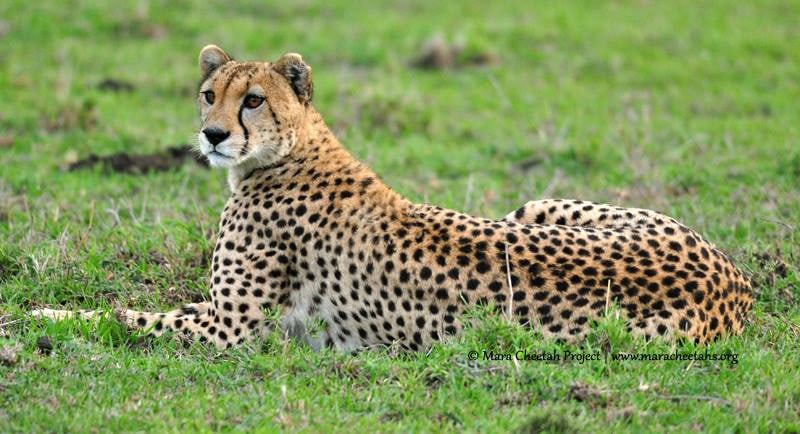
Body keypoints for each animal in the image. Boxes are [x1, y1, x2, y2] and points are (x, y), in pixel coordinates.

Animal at [33, 45, 753, 351]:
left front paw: (43, 317)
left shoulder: (229, 329)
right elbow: (145, 308)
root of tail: (738, 281)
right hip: (535, 206)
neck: (293, 148)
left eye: (253, 100)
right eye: (210, 94)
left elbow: (122, 317)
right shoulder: (218, 313)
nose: (212, 134)